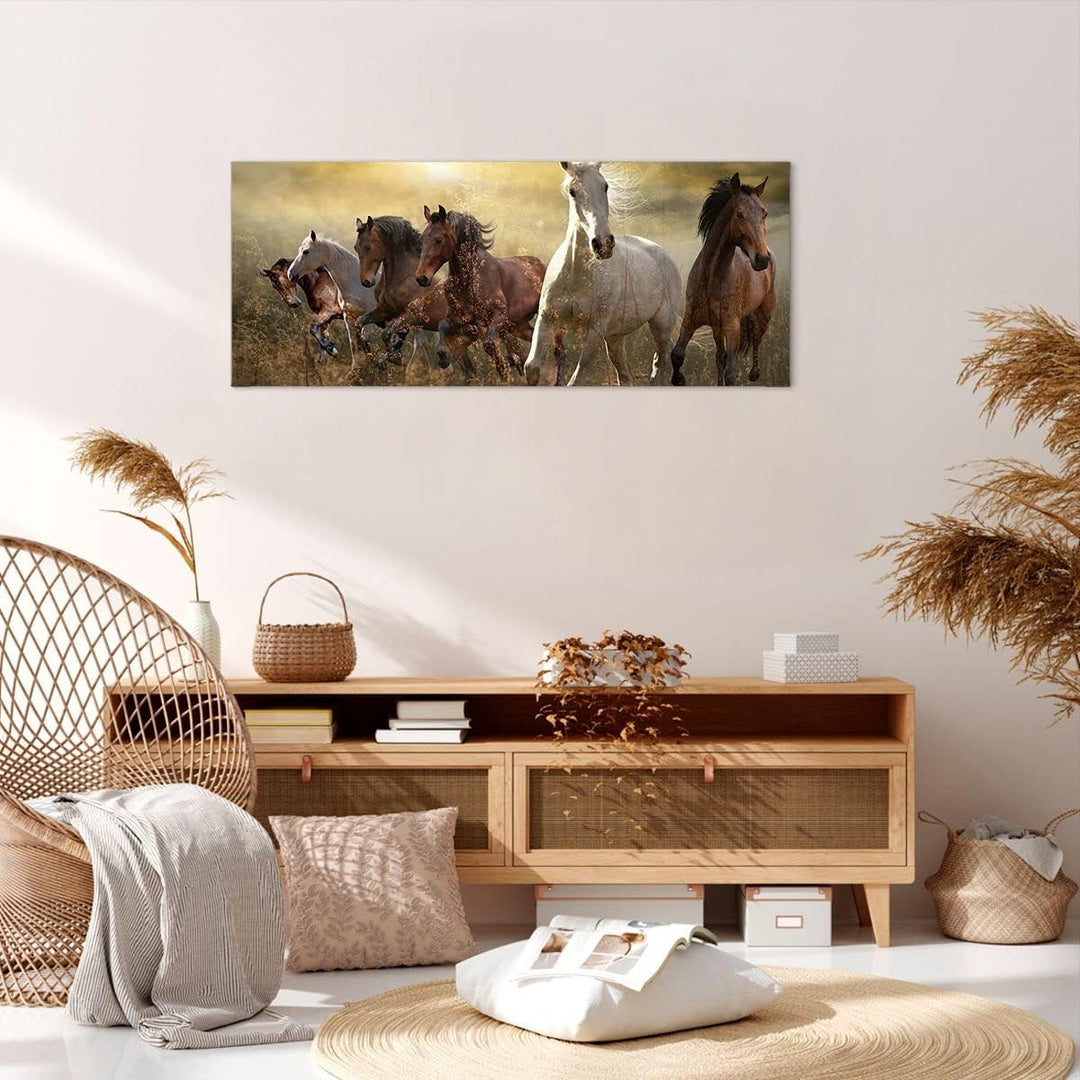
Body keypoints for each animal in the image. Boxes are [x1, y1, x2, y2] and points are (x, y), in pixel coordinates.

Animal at [415, 206, 546, 383]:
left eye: (438, 240)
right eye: (421, 239)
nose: (421, 278)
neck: (469, 280)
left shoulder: (498, 315)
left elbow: (490, 346)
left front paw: (506, 367)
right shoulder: (461, 318)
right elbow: (442, 327)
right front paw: (444, 363)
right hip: (519, 326)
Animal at [523, 162, 681, 387]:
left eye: (605, 186)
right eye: (572, 191)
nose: (603, 244)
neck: (577, 276)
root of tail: (662, 253)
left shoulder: (596, 330)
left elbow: (578, 377)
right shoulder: (546, 318)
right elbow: (532, 368)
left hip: (661, 325)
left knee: (660, 361)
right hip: (615, 337)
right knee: (625, 375)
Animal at [669, 174, 776, 387]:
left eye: (765, 214)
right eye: (739, 214)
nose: (762, 259)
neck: (712, 277)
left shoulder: (732, 326)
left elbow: (731, 373)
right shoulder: (691, 319)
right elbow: (677, 355)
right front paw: (679, 379)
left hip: (764, 314)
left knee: (757, 338)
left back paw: (754, 373)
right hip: (717, 329)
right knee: (720, 356)